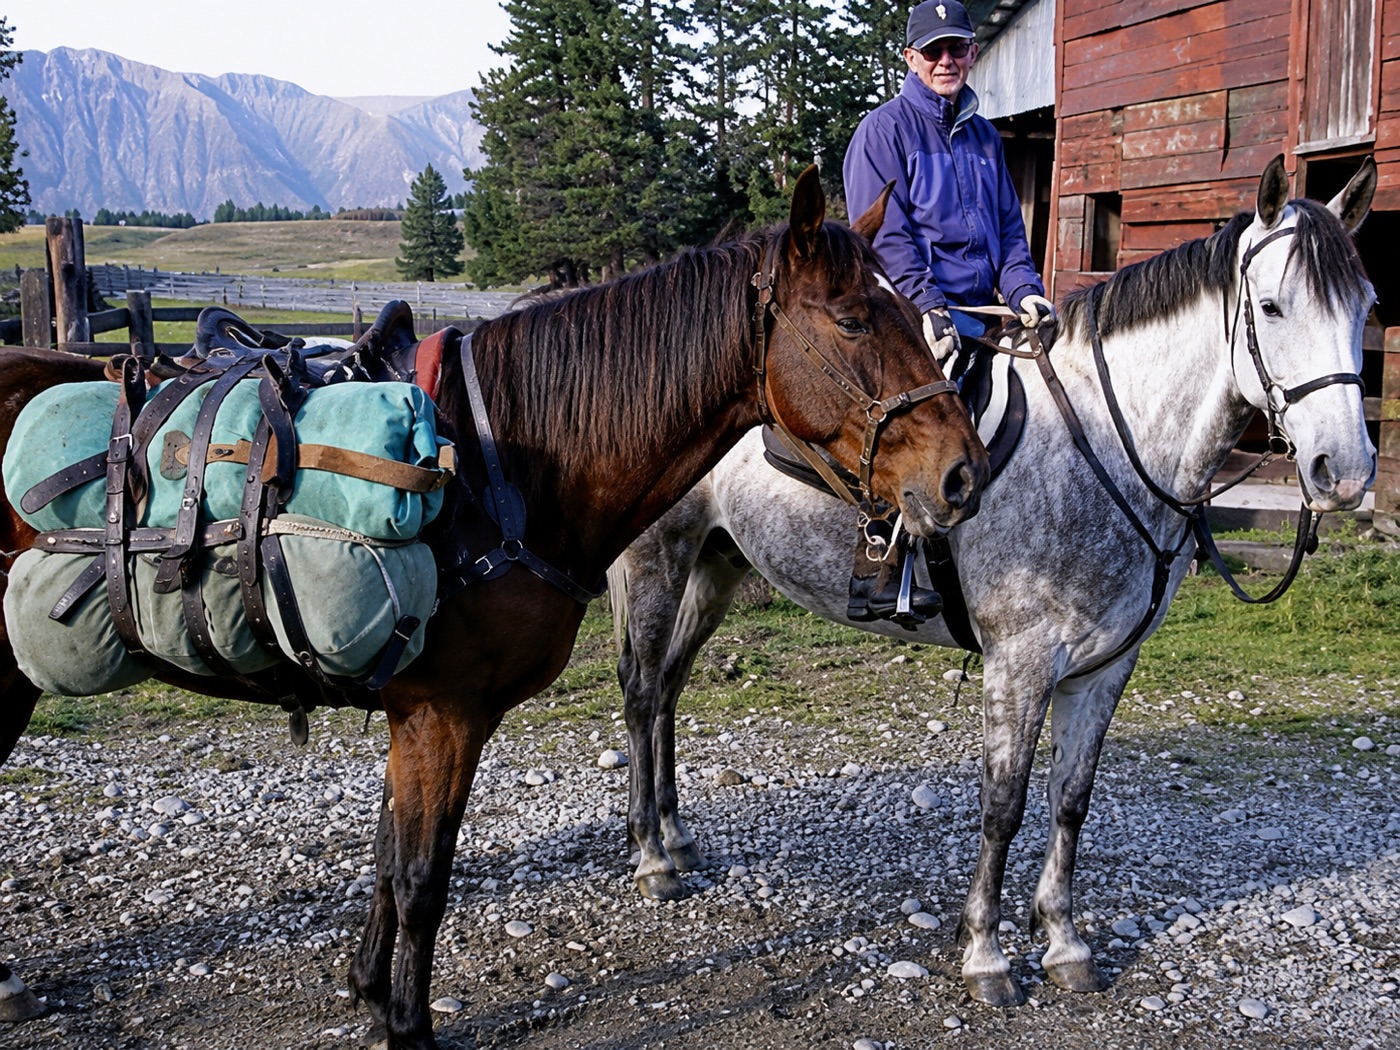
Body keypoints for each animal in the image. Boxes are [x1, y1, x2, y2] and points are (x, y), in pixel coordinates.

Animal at [0, 167, 989, 1048]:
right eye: (855, 319)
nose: (963, 474)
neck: (495, 467)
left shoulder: (415, 713)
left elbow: (388, 857)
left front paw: (368, 988)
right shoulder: (446, 712)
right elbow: (422, 875)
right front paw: (408, 1026)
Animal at [610, 156, 1378, 1009]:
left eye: (1365, 307)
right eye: (1271, 307)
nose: (1343, 473)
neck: (1104, 449)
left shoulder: (1107, 667)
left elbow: (1070, 800)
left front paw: (1065, 941)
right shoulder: (1020, 662)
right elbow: (1002, 807)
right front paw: (985, 952)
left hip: (716, 563)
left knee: (669, 688)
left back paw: (677, 837)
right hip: (657, 561)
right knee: (641, 693)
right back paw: (651, 858)